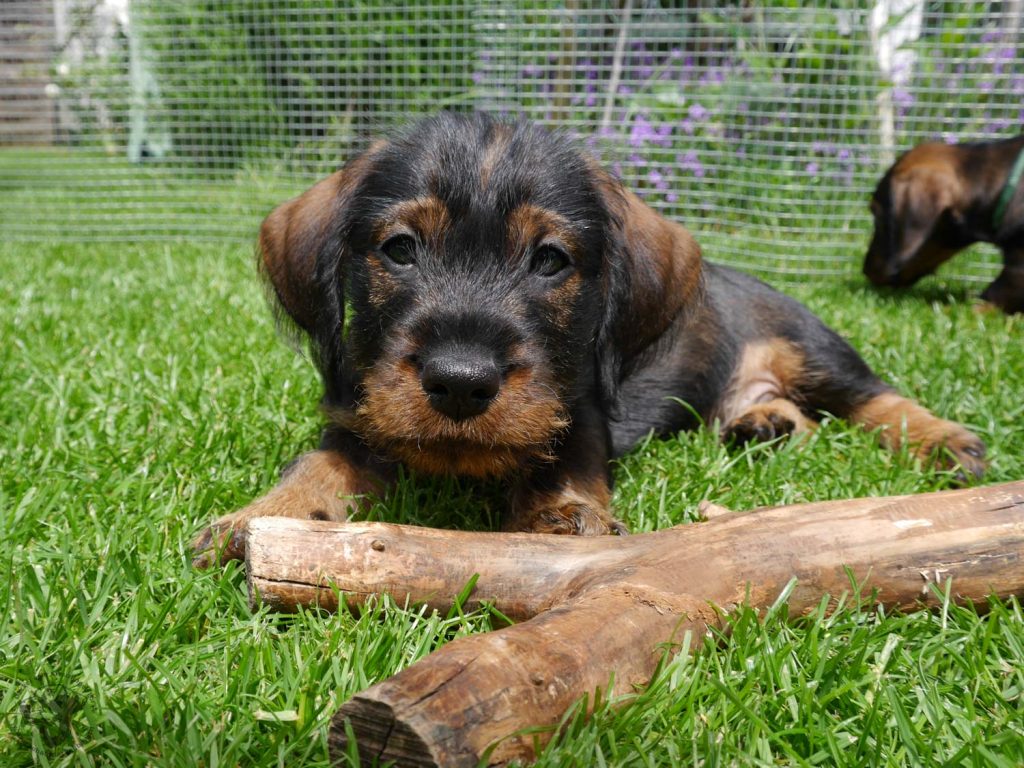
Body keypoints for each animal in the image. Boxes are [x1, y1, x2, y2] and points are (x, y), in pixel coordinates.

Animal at [192, 112, 983, 565]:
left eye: (551, 260)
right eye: (399, 249)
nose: (460, 382)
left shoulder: (579, 406)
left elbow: (565, 457)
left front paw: (557, 517)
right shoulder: (356, 414)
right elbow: (314, 466)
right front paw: (257, 519)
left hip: (809, 343)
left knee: (873, 396)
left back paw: (945, 441)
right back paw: (764, 423)